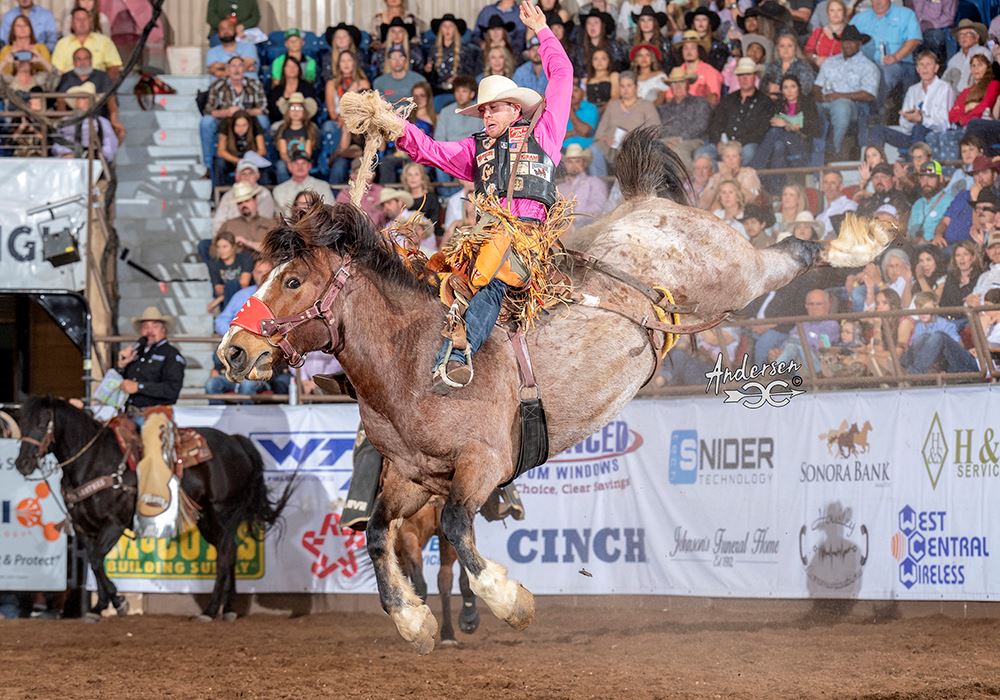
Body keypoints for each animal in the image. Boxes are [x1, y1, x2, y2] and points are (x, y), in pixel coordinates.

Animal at [15, 396, 292, 620]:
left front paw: (119, 602)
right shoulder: (83, 527)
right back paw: (229, 610)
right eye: (22, 423)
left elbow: (97, 559)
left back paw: (210, 611)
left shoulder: (114, 523)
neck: (92, 461)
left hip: (224, 512)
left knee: (224, 557)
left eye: (42, 423)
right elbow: (95, 564)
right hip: (208, 519)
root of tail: (236, 442)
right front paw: (100, 607)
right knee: (231, 552)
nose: (22, 464)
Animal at [217, 129, 892, 652]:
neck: (412, 359)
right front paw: (414, 622)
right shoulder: (412, 478)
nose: (234, 350)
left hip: (734, 275)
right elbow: (381, 532)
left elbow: (459, 526)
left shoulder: (483, 464)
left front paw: (508, 599)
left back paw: (866, 240)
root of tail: (645, 202)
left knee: (792, 252)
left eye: (293, 281)